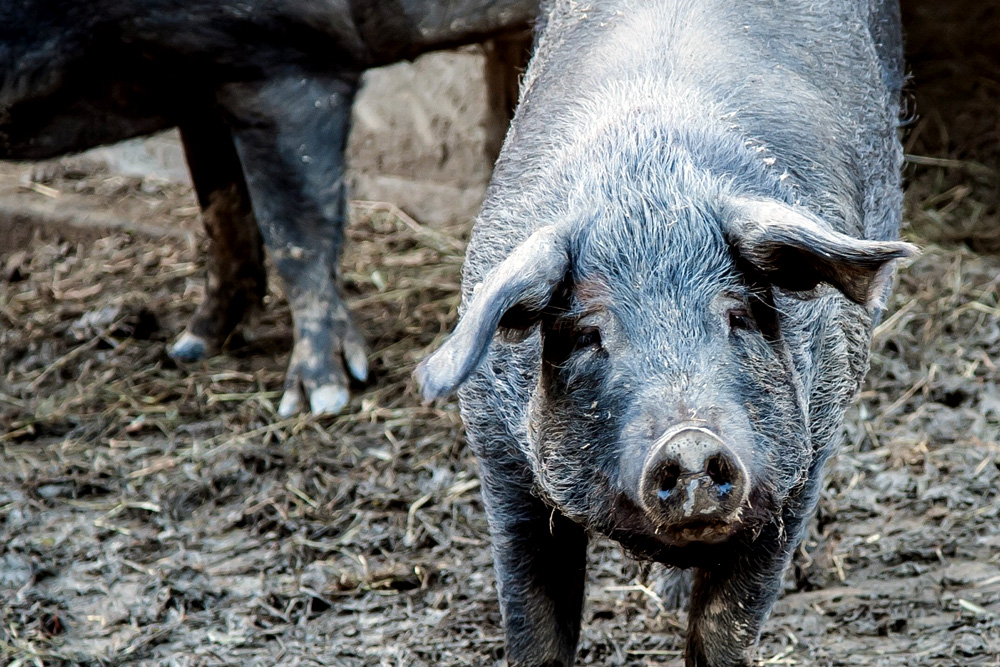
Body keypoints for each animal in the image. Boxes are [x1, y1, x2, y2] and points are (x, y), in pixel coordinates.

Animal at [414, 1, 916, 667]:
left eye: (738, 316)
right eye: (588, 335)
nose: (691, 443)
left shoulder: (806, 459)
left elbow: (727, 626)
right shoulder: (500, 458)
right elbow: (533, 621)